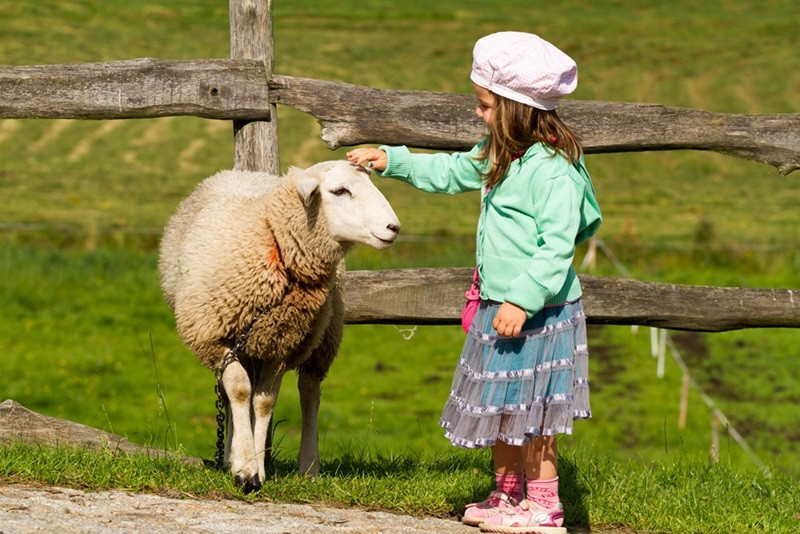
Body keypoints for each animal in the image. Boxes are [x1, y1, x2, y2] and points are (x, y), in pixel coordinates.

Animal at [159, 162, 400, 490]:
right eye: (340, 191)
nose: (393, 228)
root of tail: (243, 172)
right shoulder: (216, 337)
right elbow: (239, 391)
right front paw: (243, 467)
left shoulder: (281, 342)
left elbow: (264, 401)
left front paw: (255, 466)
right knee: (235, 391)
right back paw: (231, 454)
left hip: (322, 338)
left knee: (309, 393)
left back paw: (309, 466)